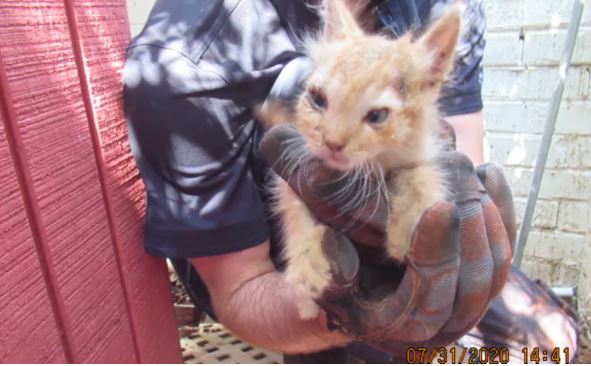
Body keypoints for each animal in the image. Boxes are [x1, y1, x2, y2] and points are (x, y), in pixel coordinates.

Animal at [268, 0, 462, 318]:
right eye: (317, 99)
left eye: (378, 116)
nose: (332, 142)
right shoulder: (292, 178)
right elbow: (295, 212)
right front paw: (306, 266)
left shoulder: (422, 152)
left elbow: (420, 174)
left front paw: (412, 223)